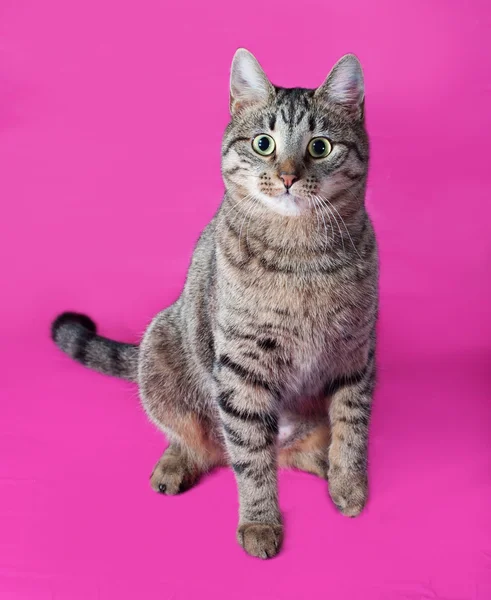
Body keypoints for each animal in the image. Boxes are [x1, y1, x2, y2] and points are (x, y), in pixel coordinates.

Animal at [52, 49, 378, 560]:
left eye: (320, 147)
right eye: (264, 144)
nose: (288, 176)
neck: (302, 255)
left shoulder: (356, 352)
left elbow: (351, 426)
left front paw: (349, 484)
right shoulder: (242, 367)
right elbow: (249, 458)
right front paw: (260, 521)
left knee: (293, 451)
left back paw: (322, 465)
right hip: (161, 351)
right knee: (200, 442)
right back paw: (173, 466)